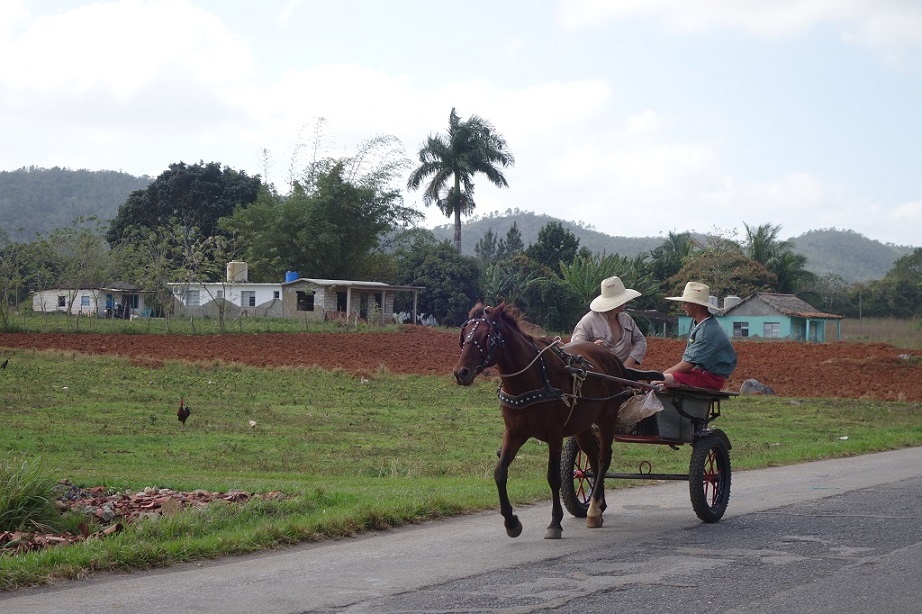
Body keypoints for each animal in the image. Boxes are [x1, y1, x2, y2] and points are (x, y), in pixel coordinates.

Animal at [448, 302, 656, 540]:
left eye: (486, 336)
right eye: (464, 334)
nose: (461, 372)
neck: (531, 379)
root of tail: (611, 358)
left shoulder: (554, 434)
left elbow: (553, 477)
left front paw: (555, 522)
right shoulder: (514, 432)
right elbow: (500, 473)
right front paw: (511, 522)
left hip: (607, 418)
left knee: (604, 458)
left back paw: (594, 509)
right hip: (583, 426)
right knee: (593, 456)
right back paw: (598, 504)